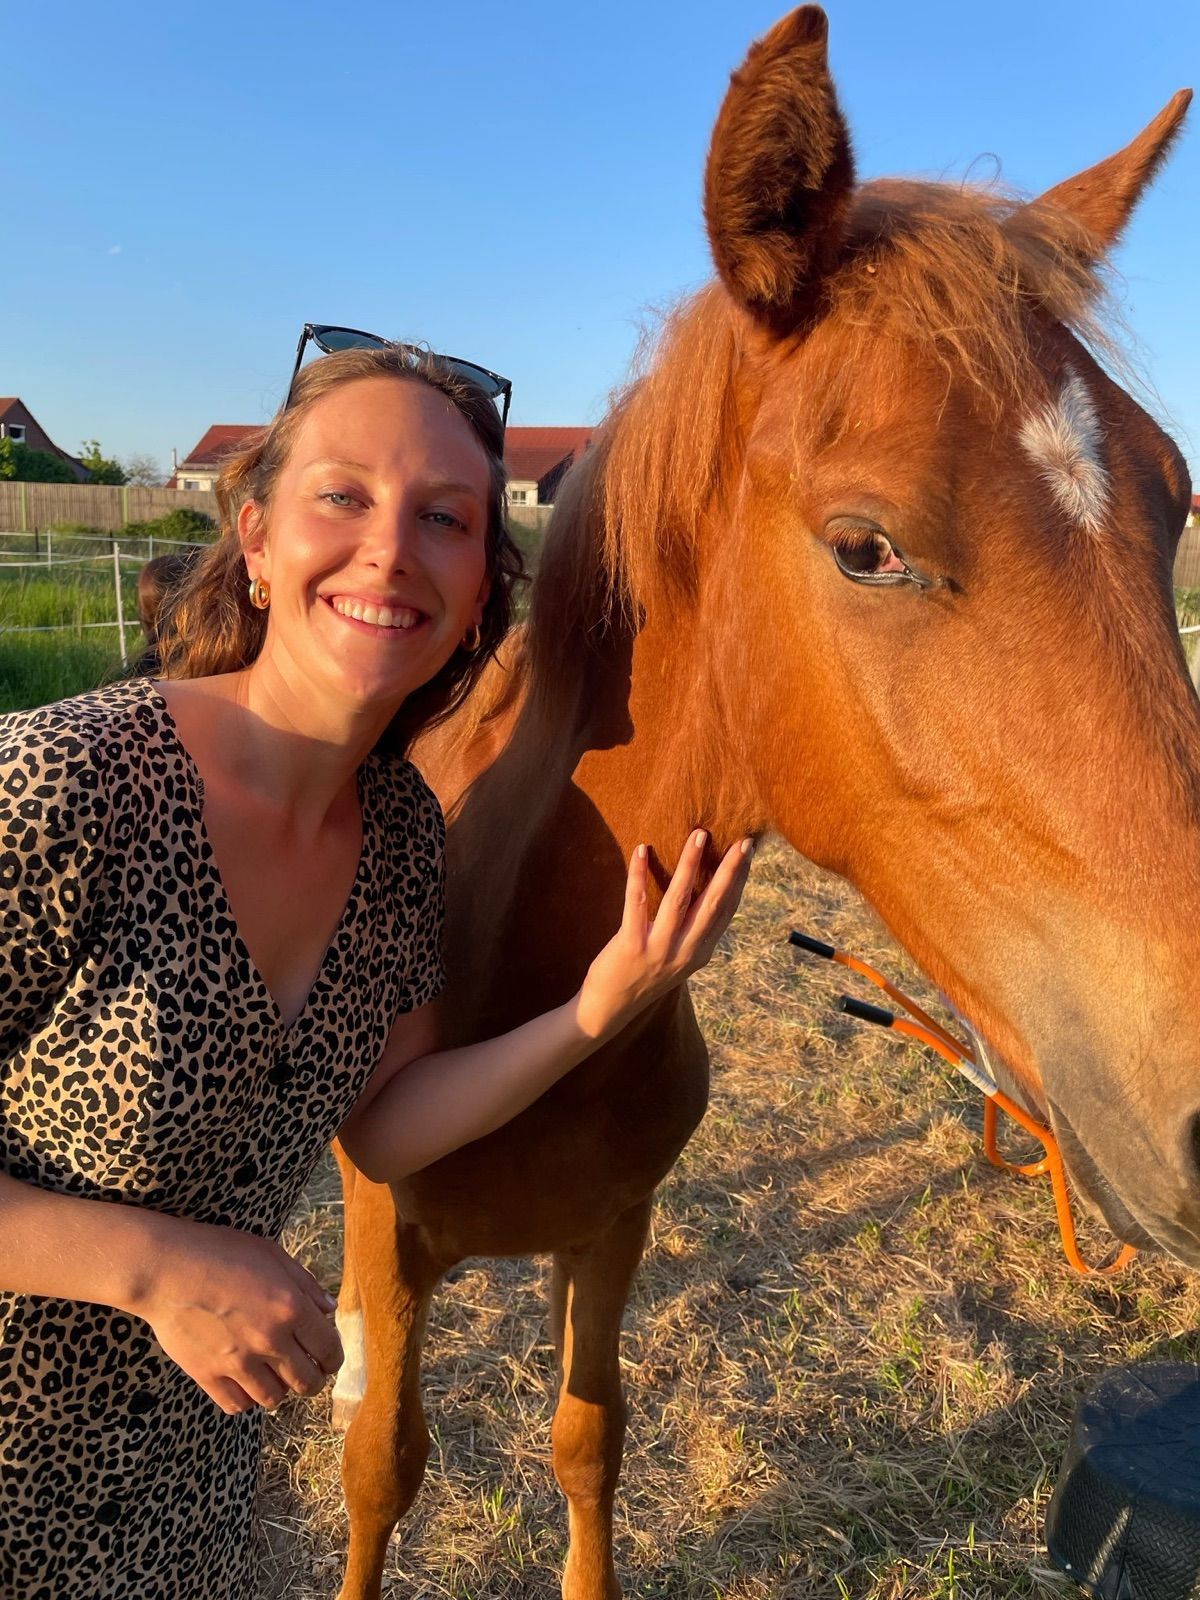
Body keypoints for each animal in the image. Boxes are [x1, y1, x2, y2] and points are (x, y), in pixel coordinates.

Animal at [331, 11, 1196, 1597]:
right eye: (867, 546)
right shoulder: (387, 1240)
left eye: (1173, 498)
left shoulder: (612, 1235)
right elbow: (380, 1465)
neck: (517, 968)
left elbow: (586, 1442)